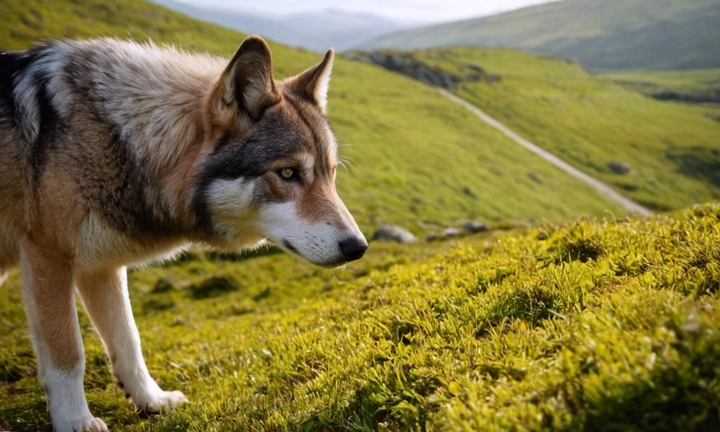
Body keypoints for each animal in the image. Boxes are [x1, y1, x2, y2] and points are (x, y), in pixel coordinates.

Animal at [0, 35, 368, 430]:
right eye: (287, 173)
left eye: (331, 173)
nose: (358, 247)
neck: (118, 137)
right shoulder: (48, 256)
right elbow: (68, 351)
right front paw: (76, 421)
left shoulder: (101, 267)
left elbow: (129, 340)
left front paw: (152, 400)